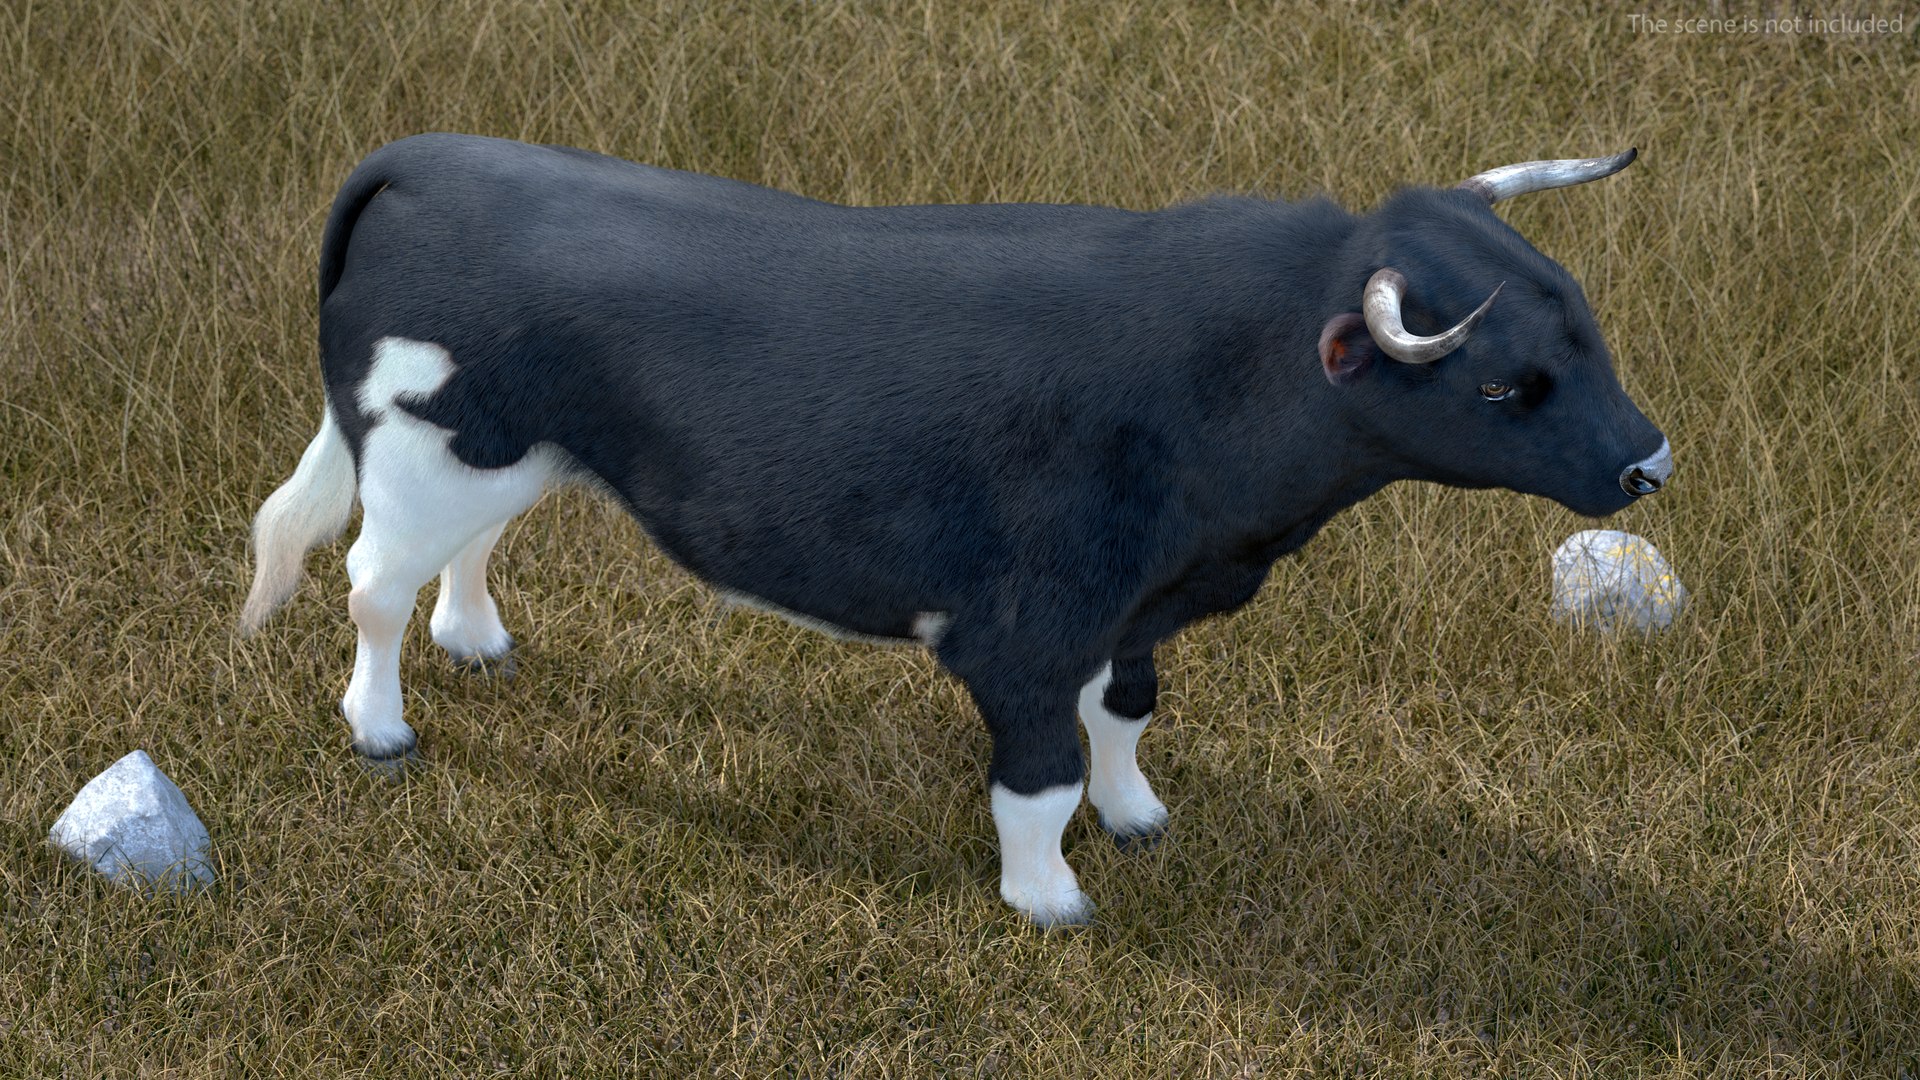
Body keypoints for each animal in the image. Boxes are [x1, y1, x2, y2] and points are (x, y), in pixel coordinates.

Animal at [241, 134, 1670, 926]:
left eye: (1588, 328)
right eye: (1507, 387)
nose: (1651, 463)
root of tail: (434, 152)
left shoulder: (1133, 607)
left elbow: (1125, 716)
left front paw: (1139, 817)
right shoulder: (1027, 626)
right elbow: (1037, 774)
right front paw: (1052, 899)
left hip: (510, 450)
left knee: (467, 555)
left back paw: (477, 641)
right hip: (426, 441)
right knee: (371, 583)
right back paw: (380, 725)